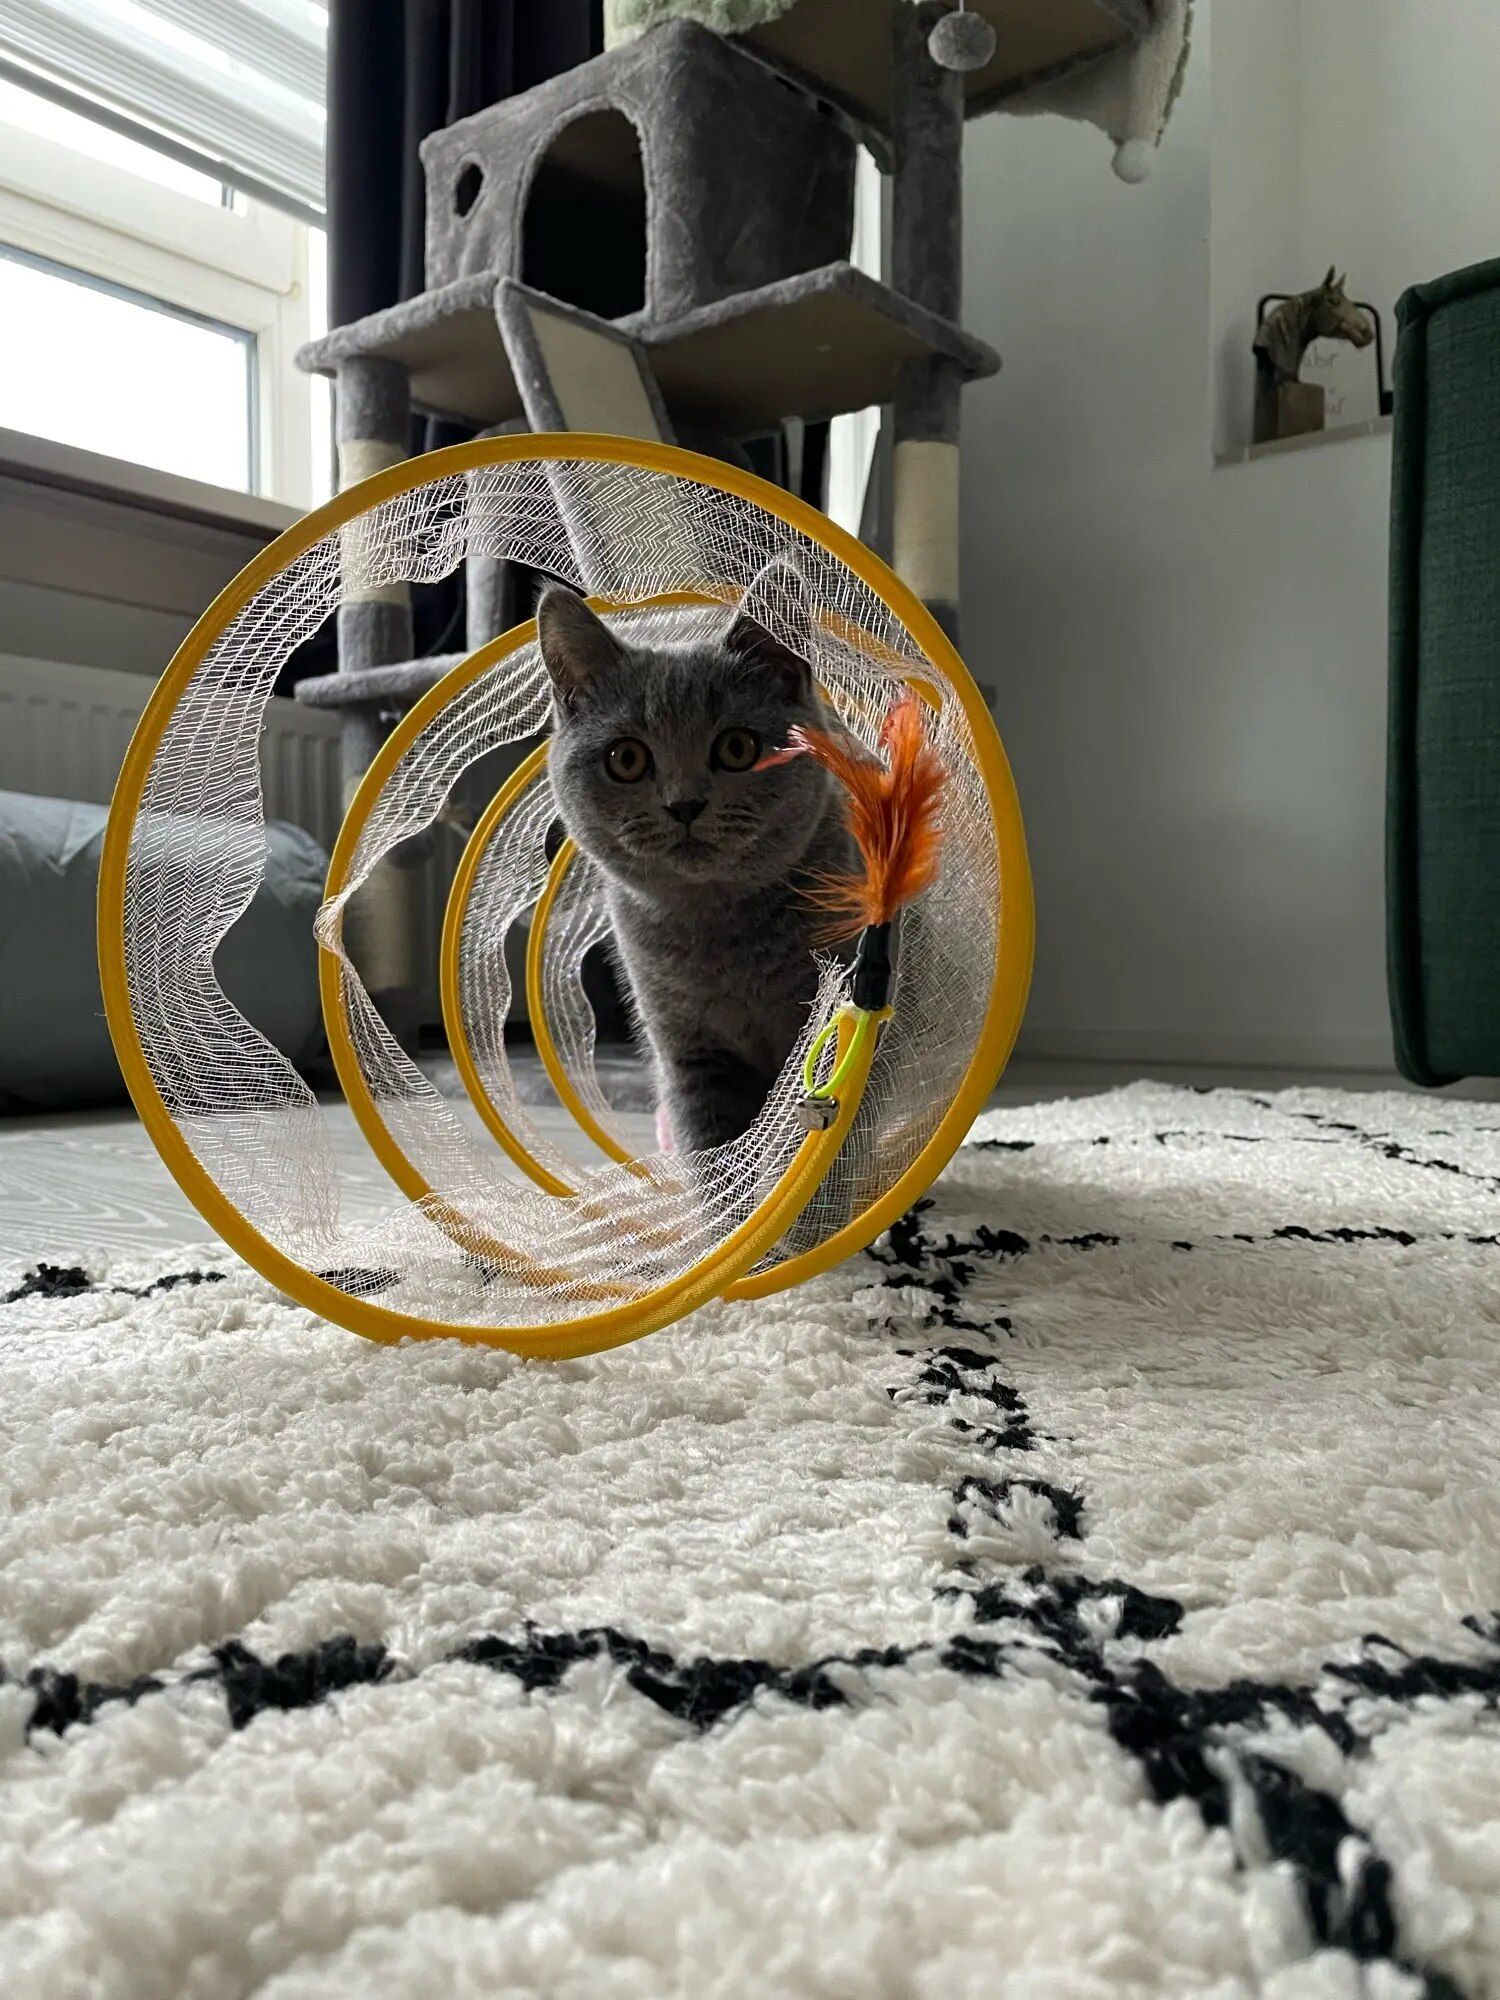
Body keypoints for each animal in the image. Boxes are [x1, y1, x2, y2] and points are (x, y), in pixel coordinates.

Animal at [538, 574, 850, 1158]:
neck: (717, 932)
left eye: (737, 747)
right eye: (626, 758)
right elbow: (708, 1151)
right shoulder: (689, 1052)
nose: (684, 804)